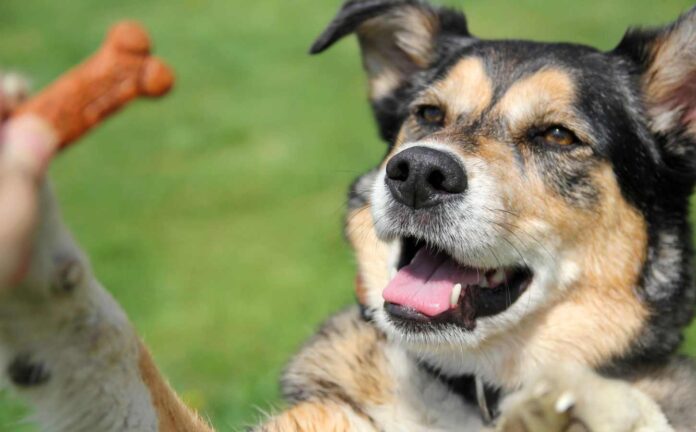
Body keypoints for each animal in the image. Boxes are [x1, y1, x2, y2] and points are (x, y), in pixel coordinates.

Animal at [1, 0, 696, 432]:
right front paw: (34, 245)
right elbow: (111, 347)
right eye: (428, 114)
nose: (418, 173)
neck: (473, 388)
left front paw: (596, 406)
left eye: (557, 135)